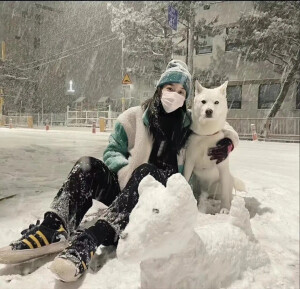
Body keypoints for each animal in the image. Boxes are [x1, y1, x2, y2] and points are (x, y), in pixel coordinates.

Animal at [184, 80, 245, 213]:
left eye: (216, 102)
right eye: (203, 101)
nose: (209, 111)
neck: (206, 135)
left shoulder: (222, 166)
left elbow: (225, 195)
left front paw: (224, 210)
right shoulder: (189, 161)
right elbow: (185, 178)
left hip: (223, 182)